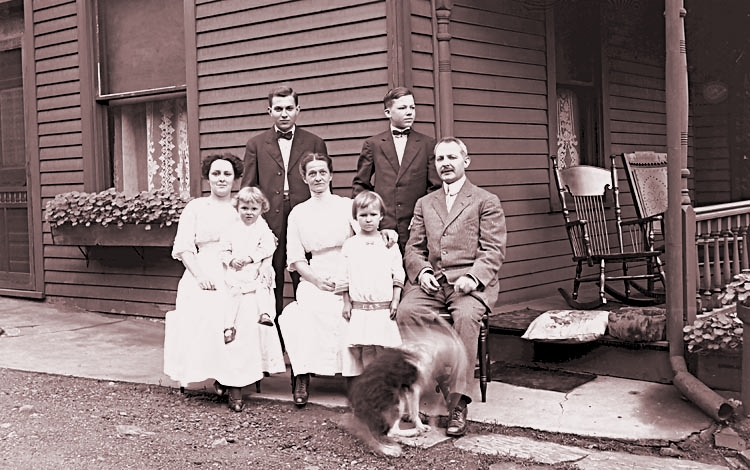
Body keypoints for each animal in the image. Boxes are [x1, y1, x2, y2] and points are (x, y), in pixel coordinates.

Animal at [342, 314, 470, 458]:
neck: (426, 345)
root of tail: (363, 418)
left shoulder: (409, 390)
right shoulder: (413, 389)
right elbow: (415, 411)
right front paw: (420, 426)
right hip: (397, 400)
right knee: (391, 432)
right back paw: (412, 432)